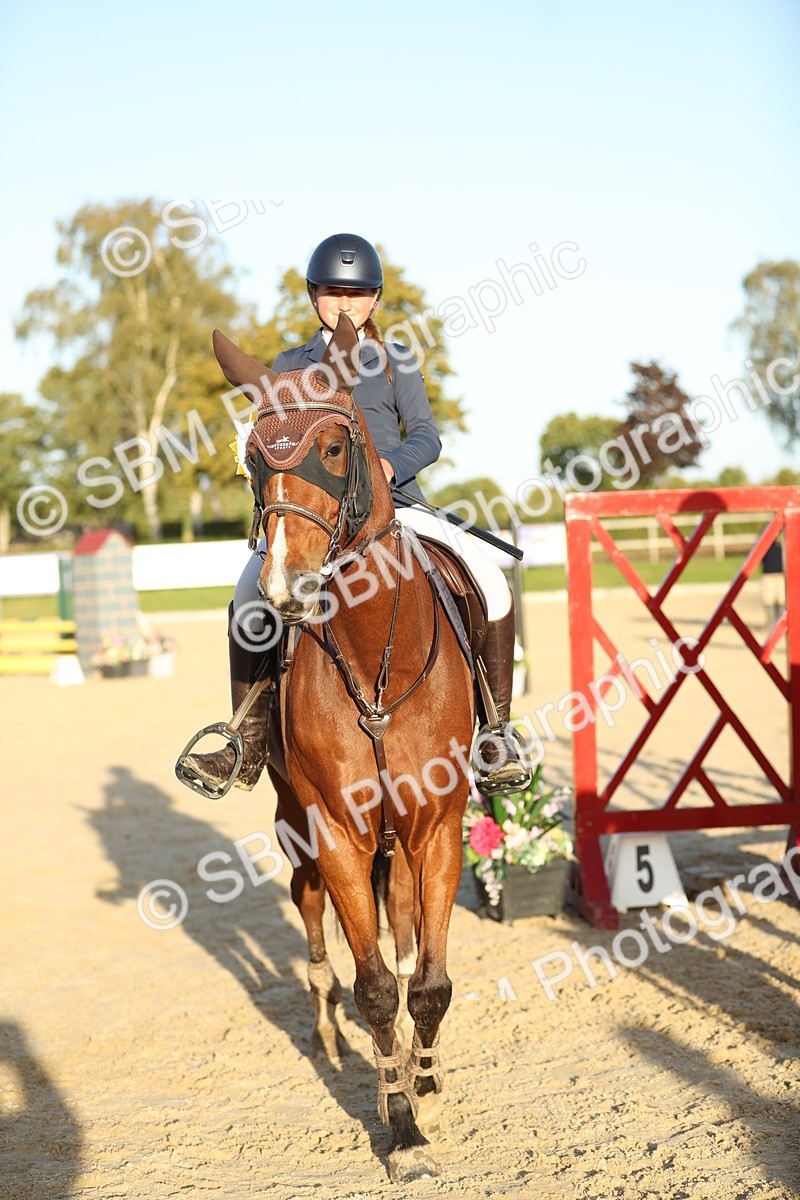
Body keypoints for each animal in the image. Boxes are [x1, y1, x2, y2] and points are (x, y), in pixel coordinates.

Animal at [212, 314, 475, 1181]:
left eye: (332, 447)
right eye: (254, 457)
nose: (285, 589)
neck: (373, 658)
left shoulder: (437, 827)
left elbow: (426, 982)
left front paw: (425, 1087)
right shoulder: (335, 832)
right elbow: (376, 991)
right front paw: (403, 1132)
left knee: (403, 931)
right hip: (296, 822)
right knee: (311, 912)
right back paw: (325, 1029)